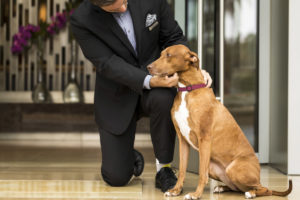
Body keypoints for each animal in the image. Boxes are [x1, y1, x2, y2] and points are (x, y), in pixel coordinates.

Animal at [146, 44, 292, 199]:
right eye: (161, 54)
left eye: (168, 55)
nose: (148, 67)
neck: (188, 89)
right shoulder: (183, 141)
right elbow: (182, 170)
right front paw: (176, 190)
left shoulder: (204, 139)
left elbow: (201, 174)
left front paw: (196, 194)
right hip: (214, 168)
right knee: (237, 188)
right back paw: (222, 187)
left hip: (234, 168)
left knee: (263, 188)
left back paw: (252, 193)